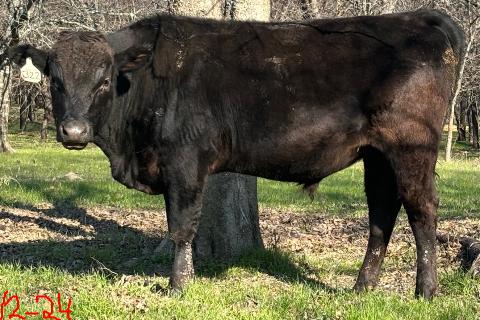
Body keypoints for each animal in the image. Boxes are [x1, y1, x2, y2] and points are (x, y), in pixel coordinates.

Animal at [8, 10, 464, 300]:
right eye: (55, 80)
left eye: (104, 80)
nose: (73, 132)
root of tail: (419, 16)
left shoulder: (185, 162)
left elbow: (182, 227)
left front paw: (178, 286)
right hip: (376, 155)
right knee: (381, 213)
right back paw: (362, 287)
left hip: (411, 146)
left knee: (422, 210)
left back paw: (426, 291)